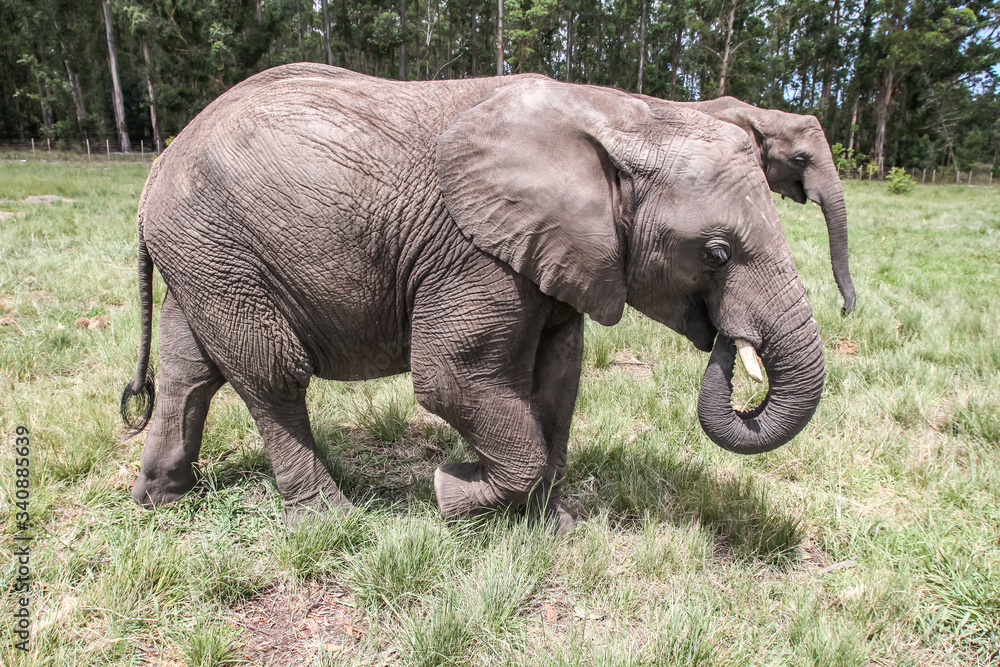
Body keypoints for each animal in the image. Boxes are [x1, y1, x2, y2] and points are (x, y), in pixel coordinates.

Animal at [120, 64, 825, 532]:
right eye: (715, 253)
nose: (728, 341)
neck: (620, 116)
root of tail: (156, 166)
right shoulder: (473, 253)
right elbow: (451, 380)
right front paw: (449, 491)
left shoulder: (558, 255)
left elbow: (558, 379)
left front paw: (552, 528)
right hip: (220, 247)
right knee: (272, 373)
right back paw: (332, 522)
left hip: (203, 254)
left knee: (190, 371)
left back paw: (163, 500)